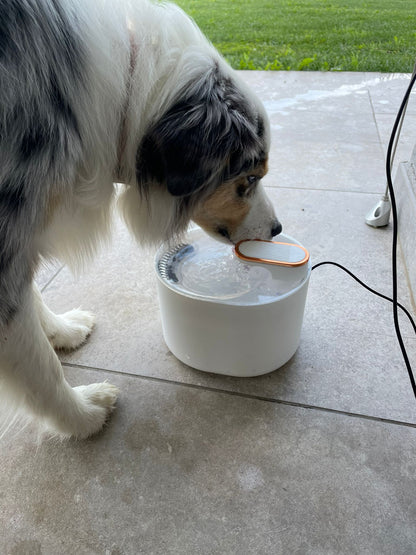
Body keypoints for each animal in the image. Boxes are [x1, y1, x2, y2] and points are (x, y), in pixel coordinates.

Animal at [0, 0, 282, 440]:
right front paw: (82, 415)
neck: (122, 90)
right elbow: (37, 361)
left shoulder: (20, 230)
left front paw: (60, 330)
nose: (277, 229)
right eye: (250, 179)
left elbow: (30, 300)